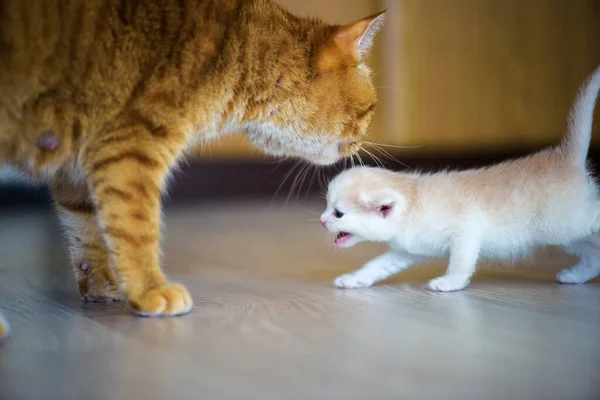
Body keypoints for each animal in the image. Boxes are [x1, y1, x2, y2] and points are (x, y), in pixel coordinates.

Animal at [0, 0, 384, 326]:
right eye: (370, 110)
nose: (363, 144)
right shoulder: (132, 148)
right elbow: (135, 227)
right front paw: (150, 289)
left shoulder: (77, 171)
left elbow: (86, 234)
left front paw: (102, 286)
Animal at [324, 65, 600, 290]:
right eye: (327, 207)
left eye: (338, 213)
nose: (321, 220)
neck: (414, 204)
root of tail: (565, 158)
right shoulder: (408, 250)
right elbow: (376, 266)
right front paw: (354, 280)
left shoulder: (465, 232)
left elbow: (460, 263)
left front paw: (450, 283)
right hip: (562, 235)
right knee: (593, 254)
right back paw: (575, 276)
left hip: (566, 223)